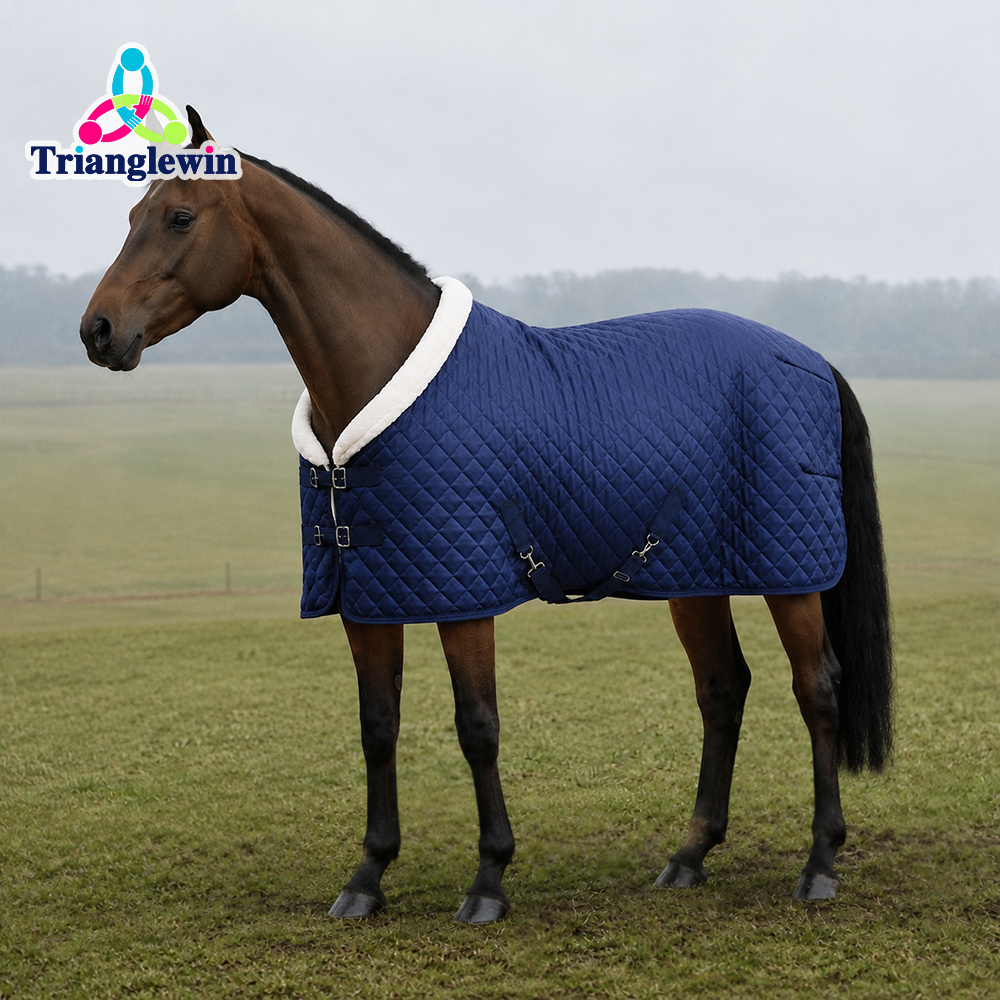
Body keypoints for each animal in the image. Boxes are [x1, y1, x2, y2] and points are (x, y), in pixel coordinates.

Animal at [80, 108, 893, 924]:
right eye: (132, 214)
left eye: (180, 216)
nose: (98, 330)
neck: (382, 375)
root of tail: (810, 360)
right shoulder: (368, 595)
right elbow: (378, 727)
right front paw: (367, 875)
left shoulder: (462, 594)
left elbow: (478, 726)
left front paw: (488, 880)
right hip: (694, 575)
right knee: (723, 689)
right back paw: (689, 855)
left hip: (791, 577)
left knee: (818, 688)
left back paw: (821, 863)